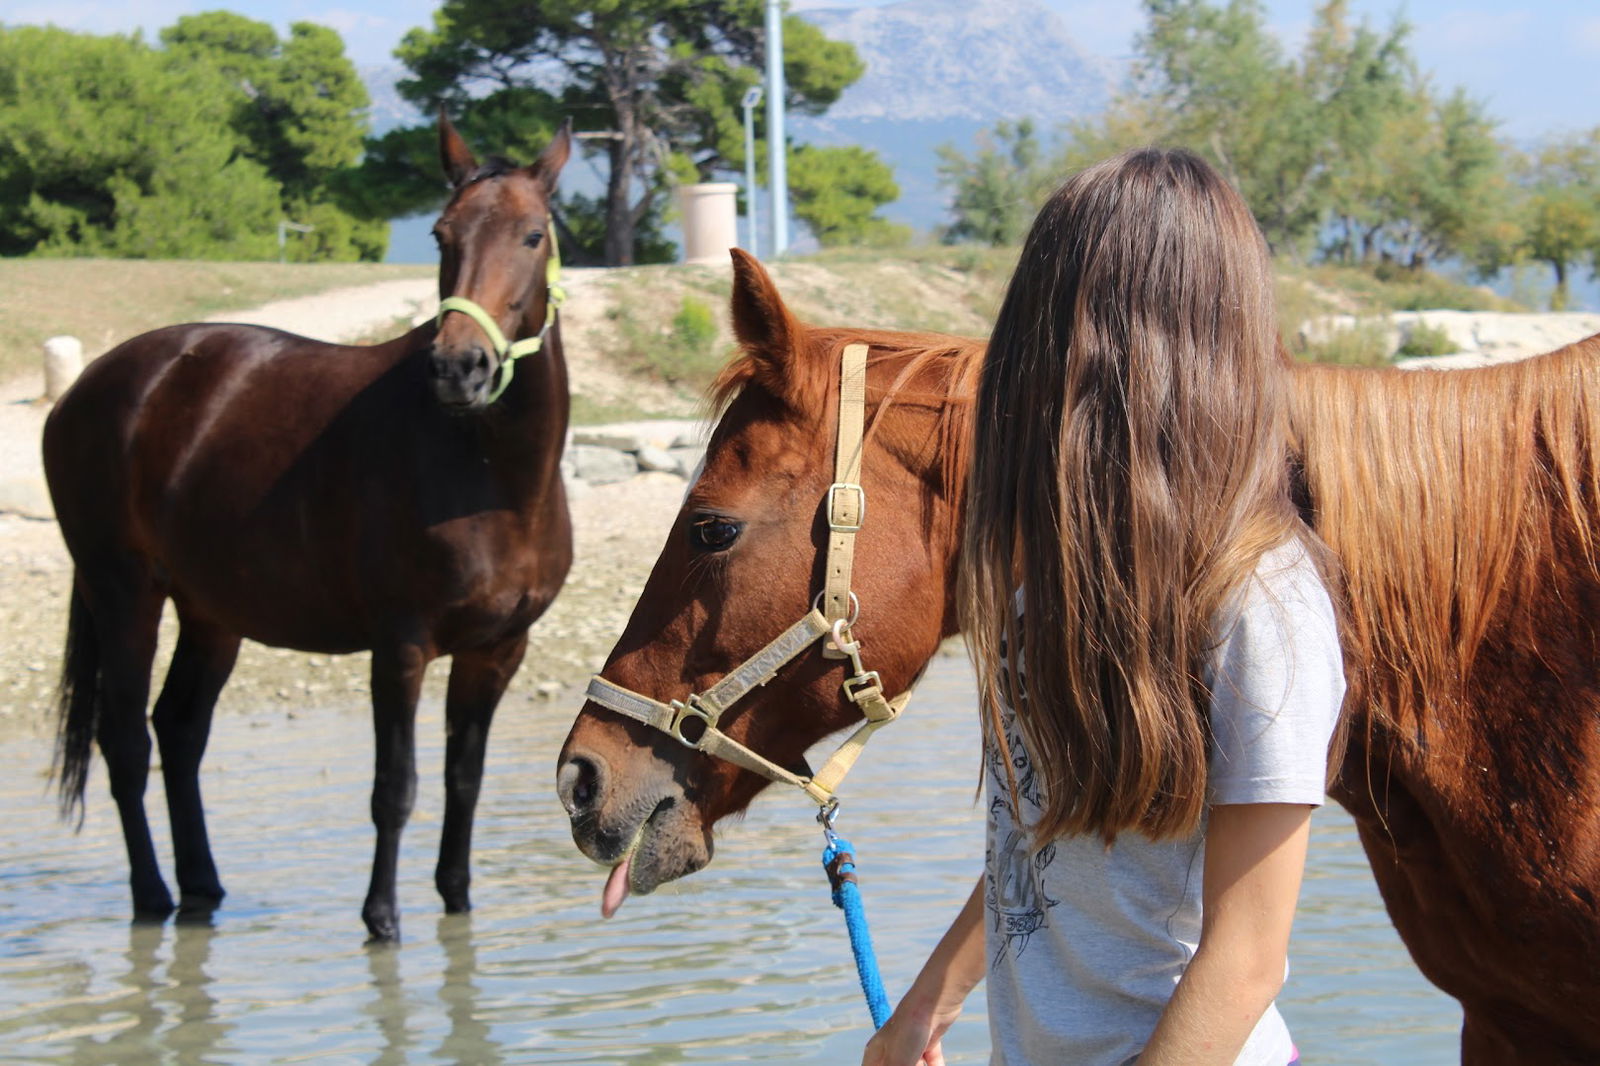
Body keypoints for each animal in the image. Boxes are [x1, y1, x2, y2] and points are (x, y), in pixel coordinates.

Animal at [45, 112, 573, 942]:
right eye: (441, 233)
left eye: (532, 234)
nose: (461, 367)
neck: (490, 473)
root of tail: (89, 387)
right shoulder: (400, 649)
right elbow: (395, 788)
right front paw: (383, 920)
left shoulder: (498, 649)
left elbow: (463, 780)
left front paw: (456, 904)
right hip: (122, 592)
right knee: (126, 742)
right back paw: (153, 896)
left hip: (211, 613)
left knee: (179, 732)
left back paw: (202, 889)